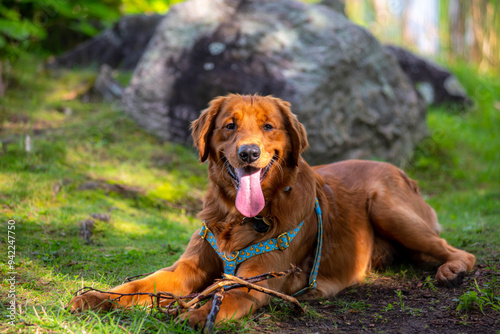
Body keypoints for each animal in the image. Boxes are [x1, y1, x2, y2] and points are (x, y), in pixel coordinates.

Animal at [68, 93, 474, 326]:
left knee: (459, 252)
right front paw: (97, 297)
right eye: (229, 126)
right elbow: (138, 284)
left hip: (386, 206)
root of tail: (399, 169)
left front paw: (196, 315)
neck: (238, 217)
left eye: (268, 126)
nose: (249, 153)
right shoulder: (186, 270)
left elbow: (226, 296)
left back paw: (452, 270)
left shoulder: (256, 283)